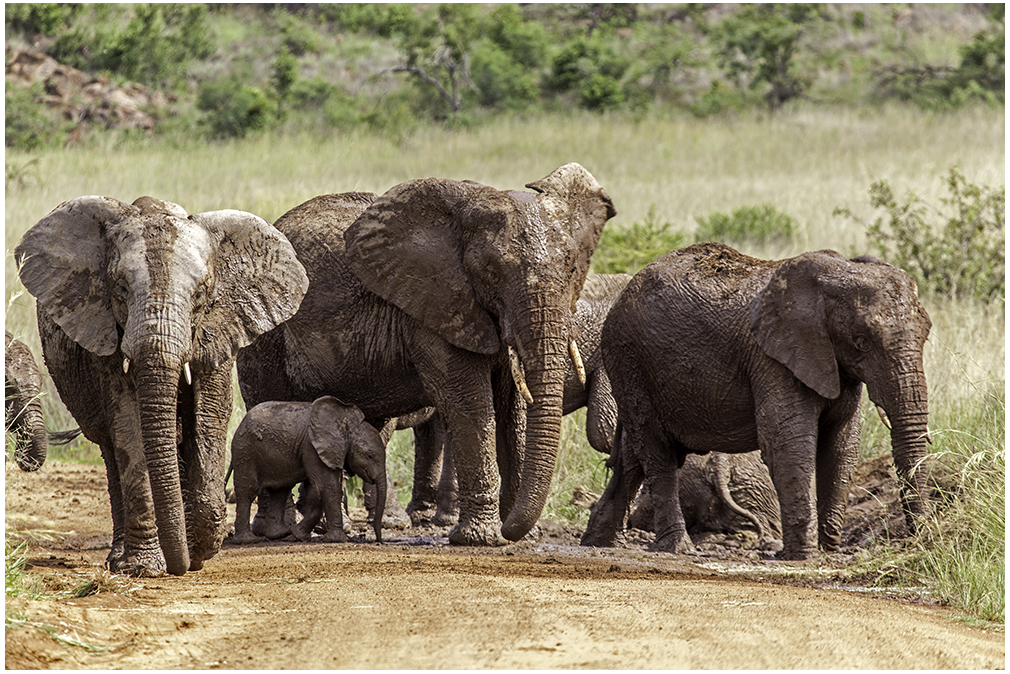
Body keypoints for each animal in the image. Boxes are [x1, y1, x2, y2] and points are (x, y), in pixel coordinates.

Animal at [14, 194, 307, 573]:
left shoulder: (218, 330)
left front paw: (198, 550)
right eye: (121, 289)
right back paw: (119, 559)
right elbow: (129, 425)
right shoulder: (107, 336)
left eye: (201, 294)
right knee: (111, 450)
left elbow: (209, 421)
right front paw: (146, 567)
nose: (183, 564)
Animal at [231, 398, 385, 545]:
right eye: (369, 456)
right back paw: (247, 540)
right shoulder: (312, 447)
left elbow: (315, 490)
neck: (346, 423)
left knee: (280, 491)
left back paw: (281, 534)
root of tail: (241, 423)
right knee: (248, 490)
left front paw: (299, 535)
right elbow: (327, 487)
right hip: (245, 452)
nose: (379, 541)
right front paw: (337, 539)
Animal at [581, 245, 933, 561]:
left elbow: (842, 445)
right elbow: (787, 442)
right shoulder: (772, 359)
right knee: (657, 452)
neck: (835, 274)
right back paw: (677, 548)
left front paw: (829, 552)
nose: (918, 539)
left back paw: (598, 542)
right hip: (629, 360)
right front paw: (801, 557)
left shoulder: (834, 364)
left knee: (633, 456)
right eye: (861, 341)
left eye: (926, 334)